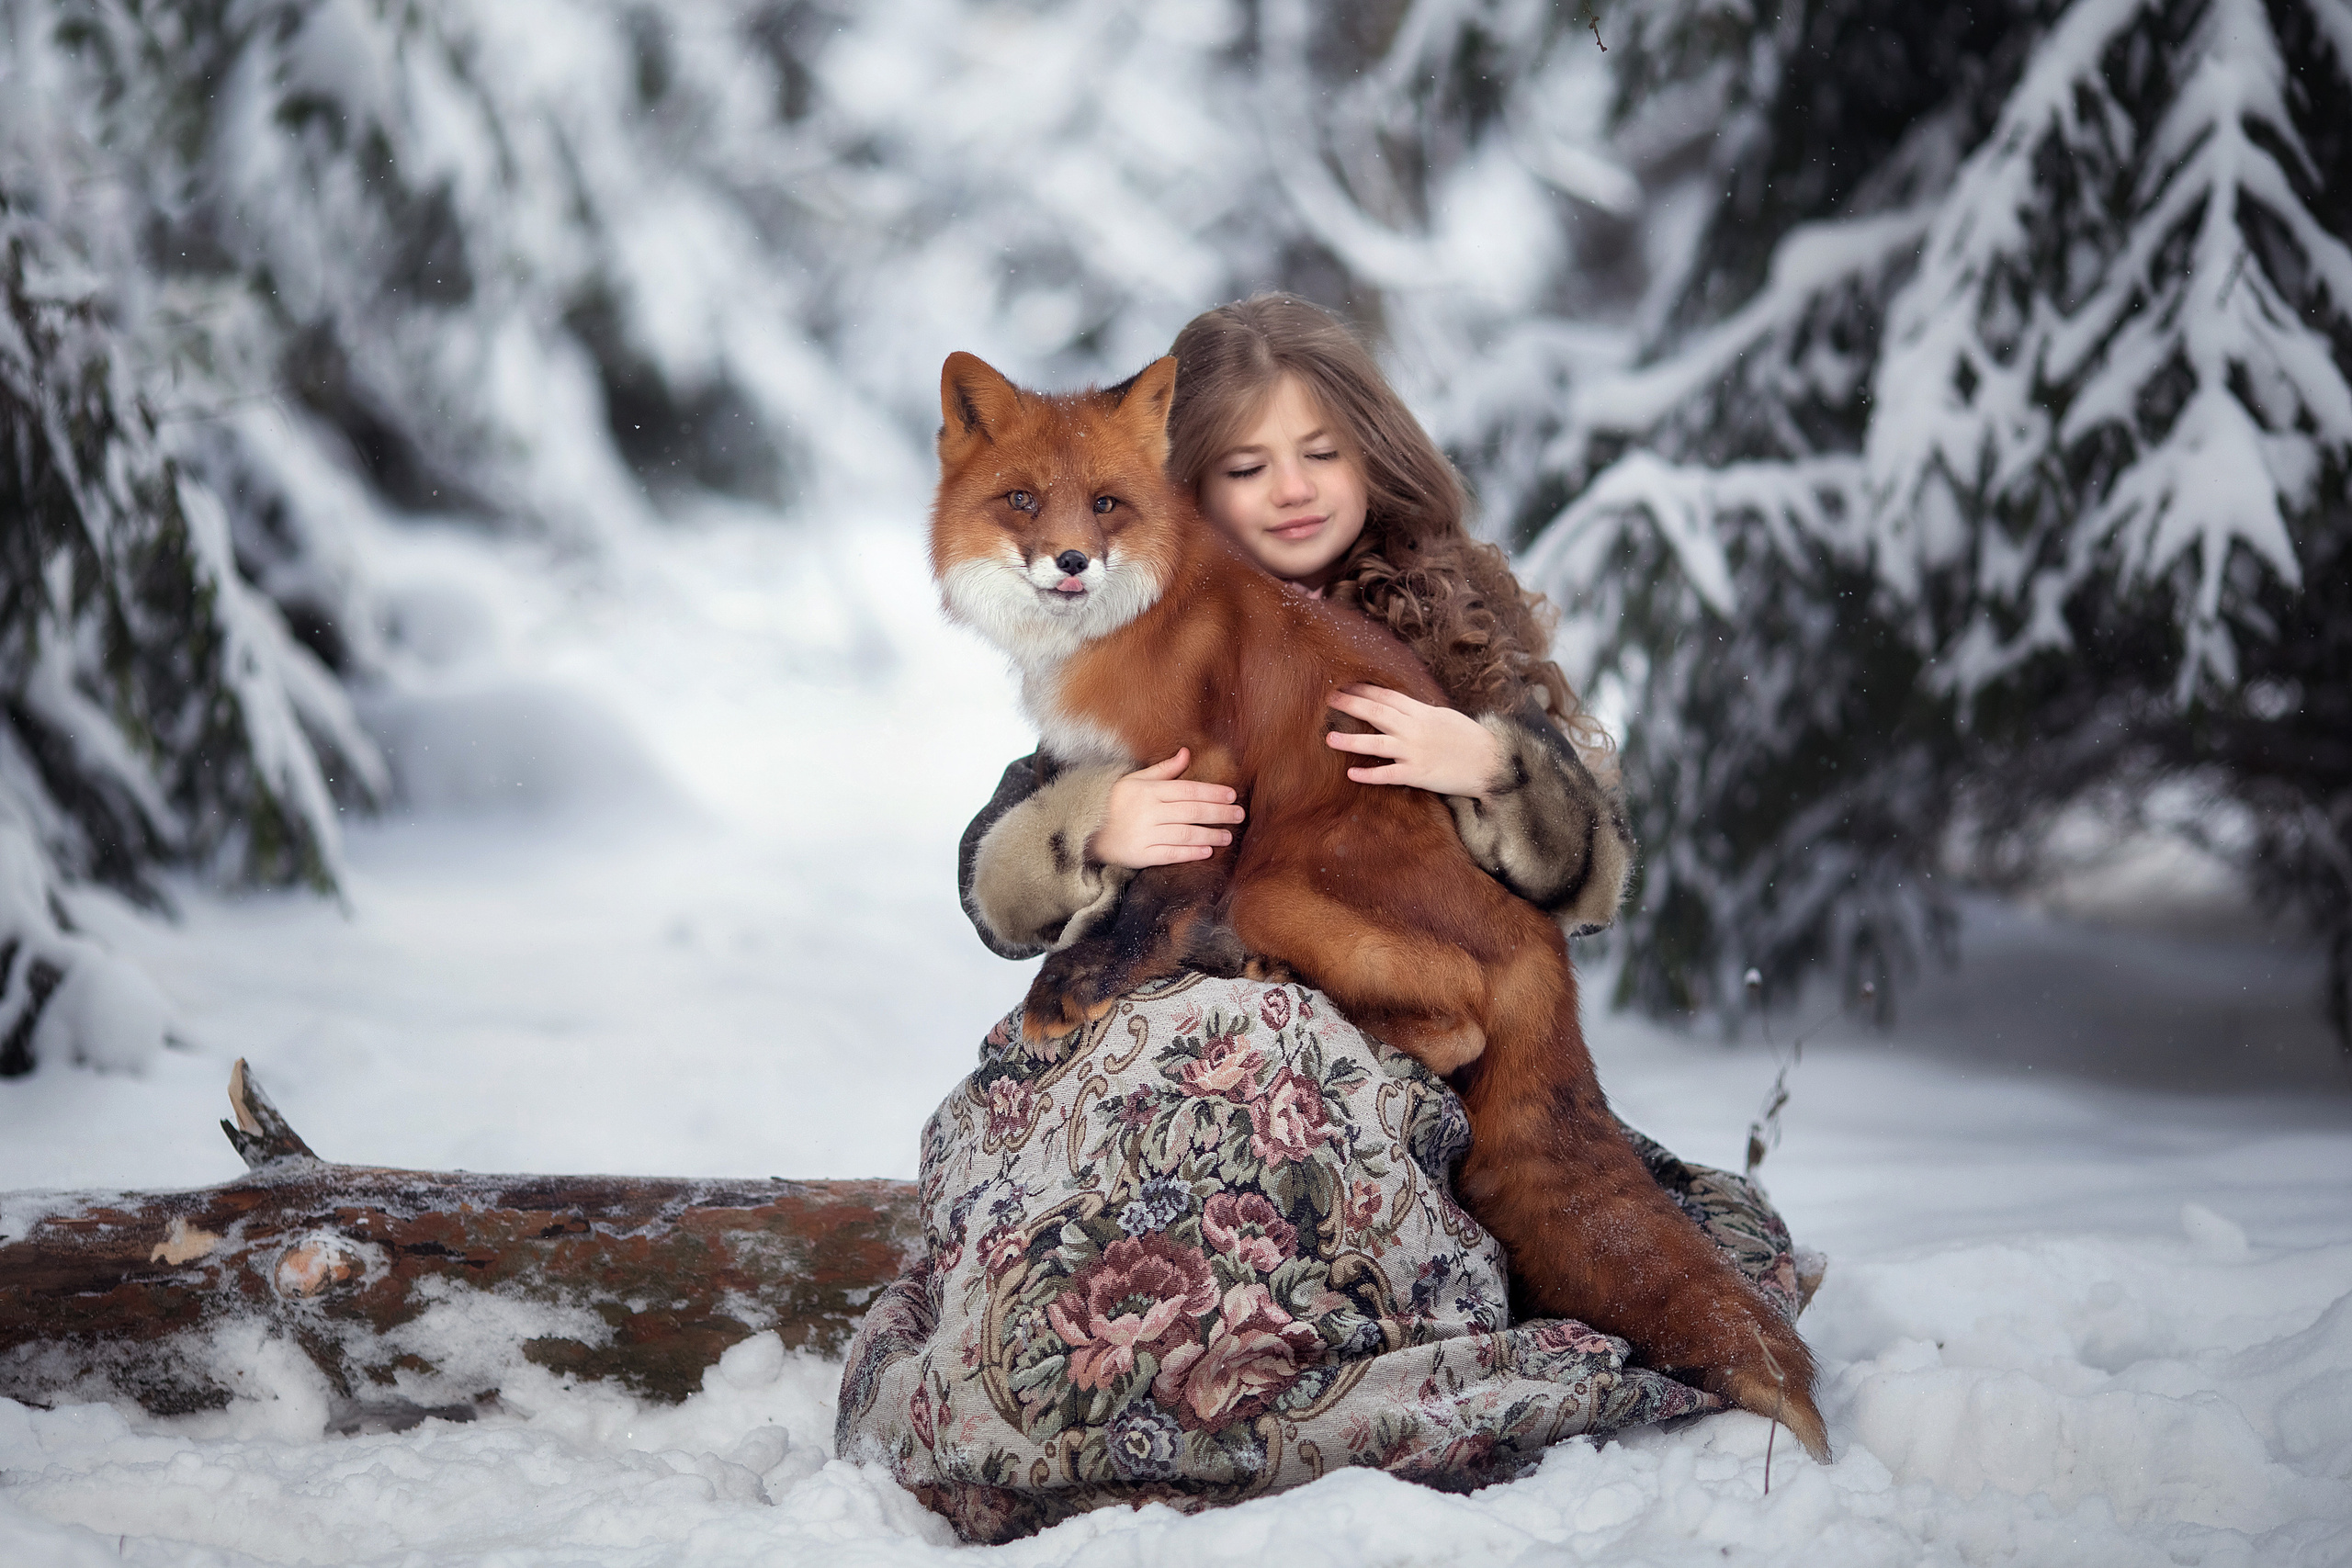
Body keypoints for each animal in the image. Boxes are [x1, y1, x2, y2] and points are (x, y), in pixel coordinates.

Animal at [929, 349, 1831, 1463]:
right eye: (1022, 500)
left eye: (1104, 504)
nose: (1068, 562)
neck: (1135, 622)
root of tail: (1544, 944)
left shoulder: (1207, 772)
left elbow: (1150, 909)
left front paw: (1074, 986)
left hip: (1277, 878)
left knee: (1454, 1032)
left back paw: (1294, 984)